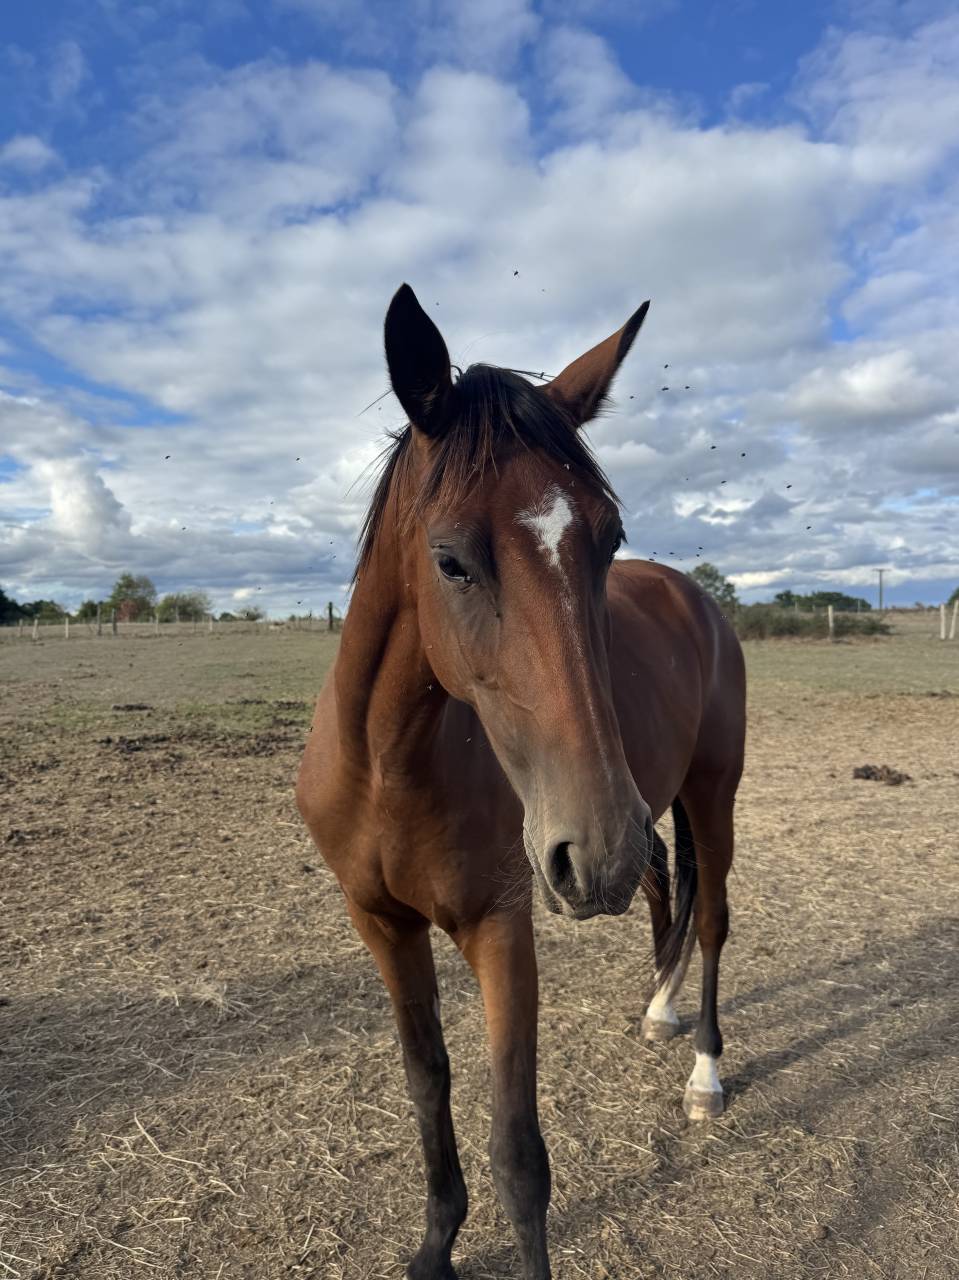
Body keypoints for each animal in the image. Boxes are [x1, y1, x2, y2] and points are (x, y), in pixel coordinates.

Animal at [297, 284, 746, 1280]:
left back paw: (703, 1069)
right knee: (665, 892)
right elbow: (427, 1085)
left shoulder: (501, 926)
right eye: (450, 559)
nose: (597, 845)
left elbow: (518, 1154)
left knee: (710, 918)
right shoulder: (379, 924)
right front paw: (435, 1244)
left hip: (703, 792)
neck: (390, 766)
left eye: (608, 539)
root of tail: (694, 597)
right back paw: (656, 1009)